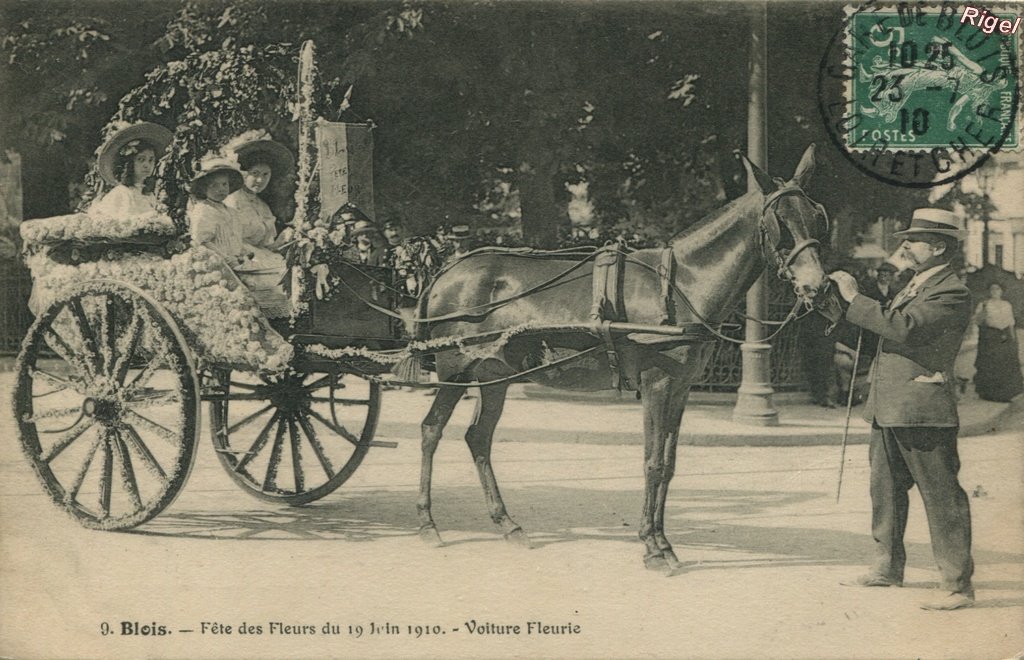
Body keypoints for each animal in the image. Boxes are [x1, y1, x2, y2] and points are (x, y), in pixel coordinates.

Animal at [411, 146, 827, 568]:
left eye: (815, 217)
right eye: (780, 222)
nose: (818, 285)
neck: (682, 285)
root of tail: (447, 271)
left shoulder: (681, 388)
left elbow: (669, 464)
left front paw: (664, 542)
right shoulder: (657, 382)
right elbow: (653, 462)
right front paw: (652, 546)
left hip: (494, 374)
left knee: (478, 438)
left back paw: (507, 524)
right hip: (454, 370)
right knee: (431, 430)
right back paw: (428, 523)